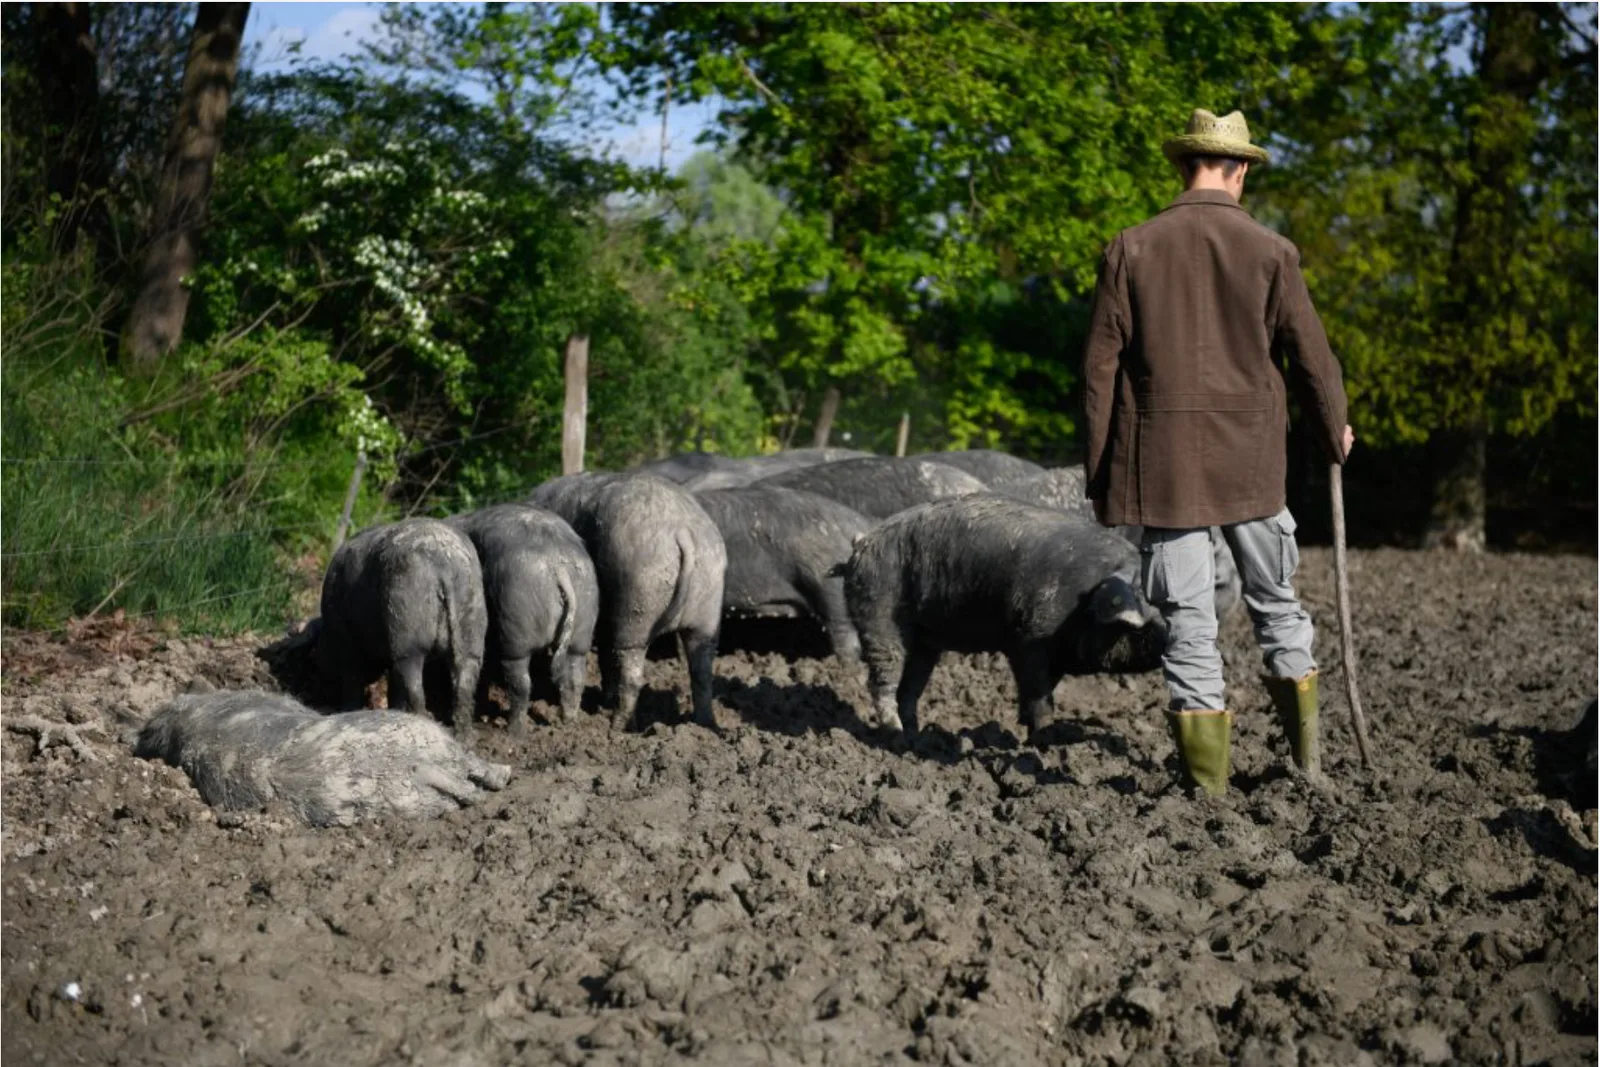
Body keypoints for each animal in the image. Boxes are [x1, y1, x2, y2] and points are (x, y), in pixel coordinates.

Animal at [316, 518, 487, 738]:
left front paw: (348, 710)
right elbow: (394, 686)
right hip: (471, 622)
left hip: (407, 625)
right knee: (464, 682)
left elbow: (353, 679)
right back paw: (463, 739)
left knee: (414, 681)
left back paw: (425, 722)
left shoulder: (346, 642)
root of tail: (444, 562)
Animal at [447, 504, 599, 735]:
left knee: (521, 683)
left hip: (516, 627)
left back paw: (514, 732)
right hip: (583, 621)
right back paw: (568, 724)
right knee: (575, 677)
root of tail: (558, 565)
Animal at [529, 473, 726, 730]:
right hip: (708, 607)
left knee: (631, 669)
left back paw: (618, 726)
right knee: (702, 670)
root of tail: (681, 530)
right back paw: (703, 724)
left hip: (638, 597)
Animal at [838, 495, 1166, 740]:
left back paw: (915, 736)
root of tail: (858, 547)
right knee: (882, 679)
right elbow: (1039, 696)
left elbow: (1039, 693)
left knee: (910, 688)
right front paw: (1043, 739)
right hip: (877, 615)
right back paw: (894, 734)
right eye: (1156, 621)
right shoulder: (1028, 639)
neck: (1083, 603)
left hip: (924, 641)